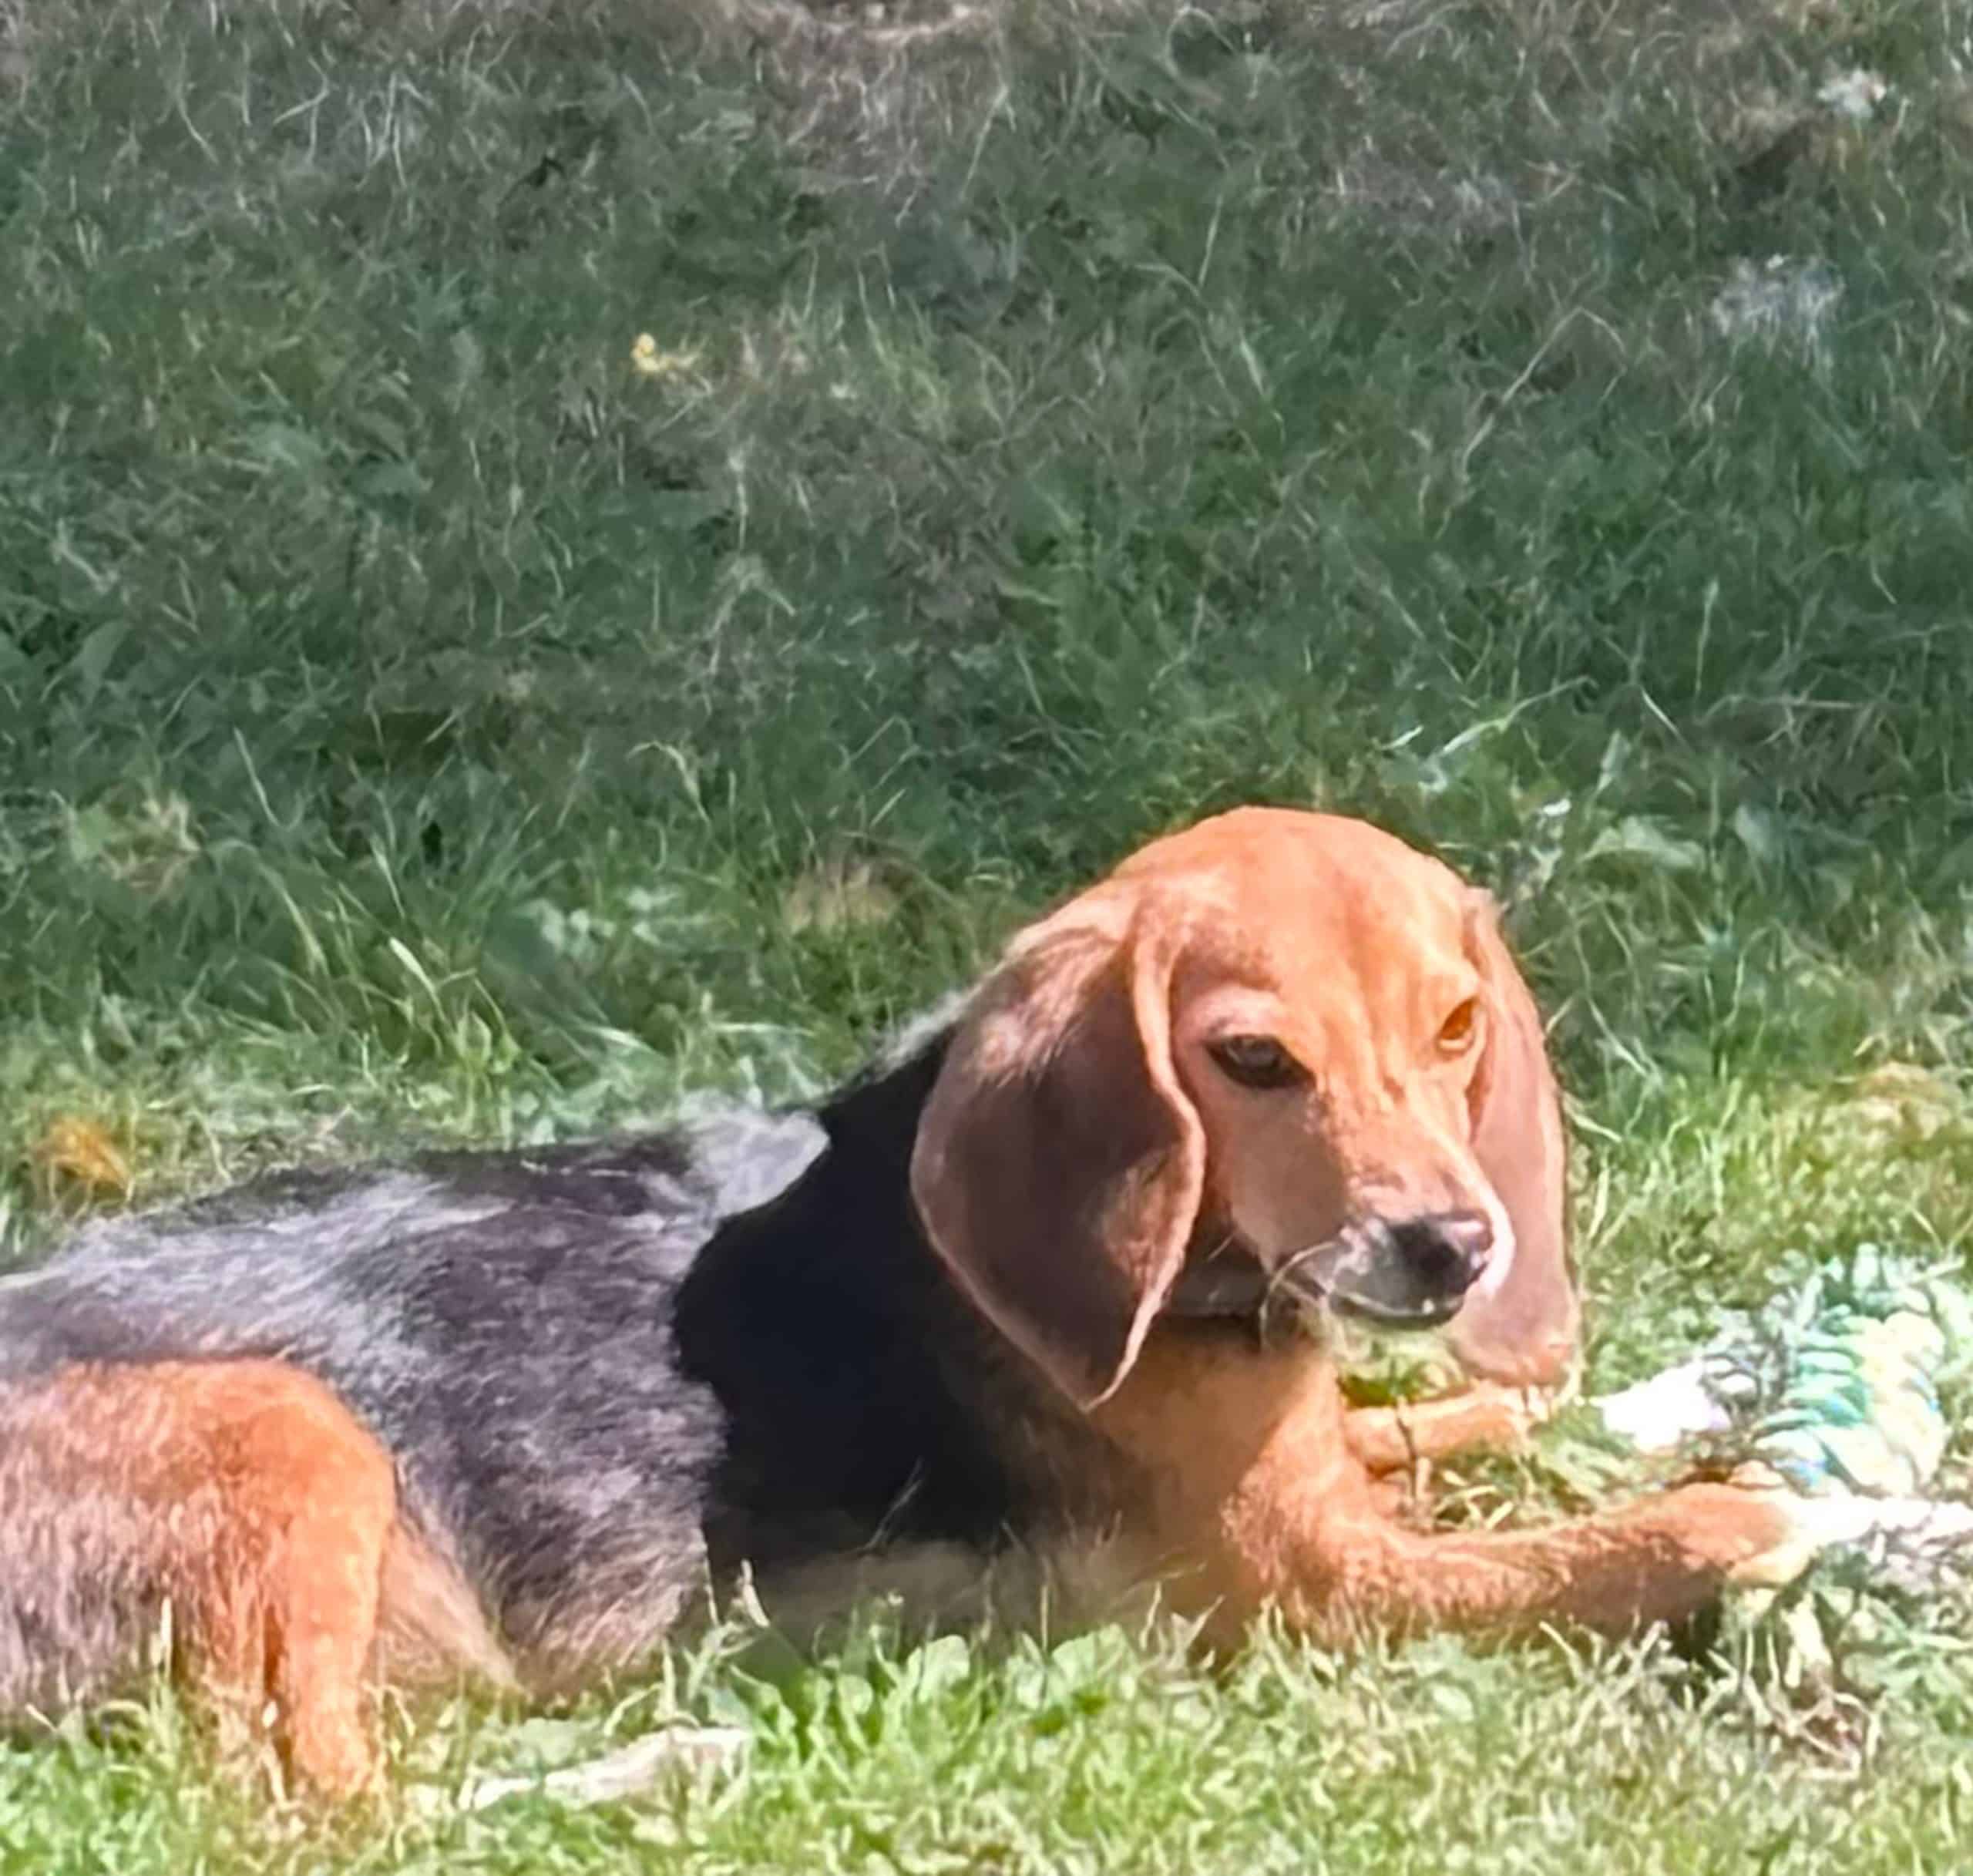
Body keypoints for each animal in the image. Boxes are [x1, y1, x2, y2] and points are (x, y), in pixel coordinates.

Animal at [0, 806, 1814, 1795]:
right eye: (1250, 1059)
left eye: (1454, 1027)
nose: (1451, 1245)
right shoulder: (1316, 1589)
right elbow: (1620, 1540)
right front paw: (1761, 1505)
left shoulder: (1316, 1461)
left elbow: (1434, 1414)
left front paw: (1573, 1392)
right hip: (293, 1424)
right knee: (300, 1804)